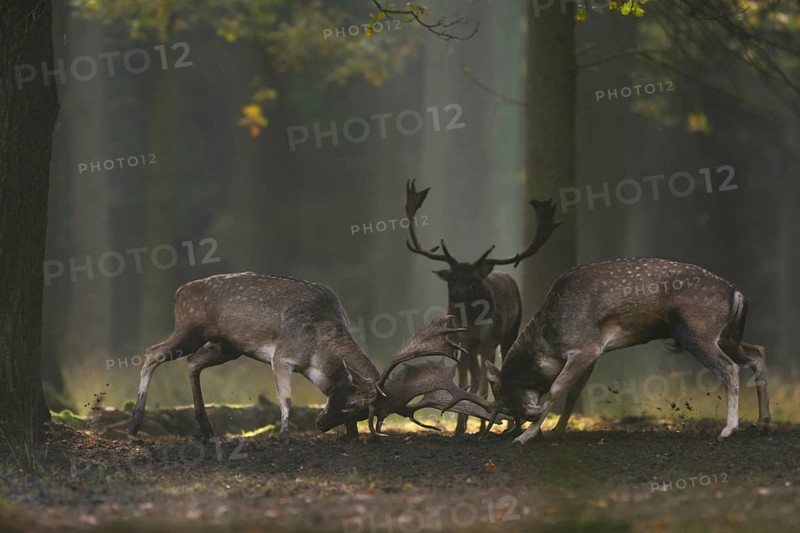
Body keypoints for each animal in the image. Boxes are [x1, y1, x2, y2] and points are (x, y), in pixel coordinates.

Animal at [127, 271, 496, 441]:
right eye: (349, 401)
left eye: (358, 410)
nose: (320, 423)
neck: (316, 350)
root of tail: (179, 292)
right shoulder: (282, 355)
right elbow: (286, 398)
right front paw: (283, 434)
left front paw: (351, 436)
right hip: (191, 328)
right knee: (151, 353)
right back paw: (134, 423)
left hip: (226, 347)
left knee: (192, 364)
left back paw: (205, 428)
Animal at [404, 180, 561, 434]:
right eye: (451, 279)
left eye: (473, 281)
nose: (457, 296)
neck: (471, 325)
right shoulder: (461, 343)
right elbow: (466, 382)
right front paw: (460, 427)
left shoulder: (489, 341)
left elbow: (486, 384)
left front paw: (485, 424)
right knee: (477, 377)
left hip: (508, 334)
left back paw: (506, 424)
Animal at [475, 257, 771, 444]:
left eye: (503, 395)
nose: (526, 417)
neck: (549, 344)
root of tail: (737, 294)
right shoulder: (593, 354)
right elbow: (573, 392)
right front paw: (558, 431)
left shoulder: (585, 347)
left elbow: (558, 389)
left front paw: (525, 437)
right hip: (727, 337)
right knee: (758, 352)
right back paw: (763, 422)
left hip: (699, 333)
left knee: (730, 368)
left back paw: (728, 429)